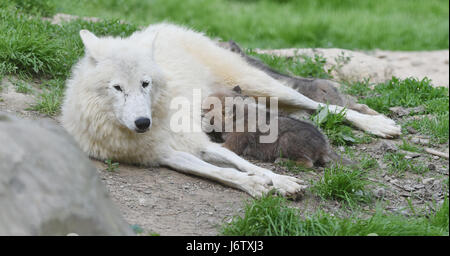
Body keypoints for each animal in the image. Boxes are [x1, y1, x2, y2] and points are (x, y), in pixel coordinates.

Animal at [60, 22, 400, 198]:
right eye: (118, 88)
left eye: (145, 83)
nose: (143, 122)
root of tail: (168, 26)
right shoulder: (164, 155)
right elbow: (219, 171)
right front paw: (255, 185)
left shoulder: (197, 140)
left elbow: (240, 161)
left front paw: (280, 181)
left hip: (261, 85)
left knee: (320, 105)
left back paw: (379, 124)